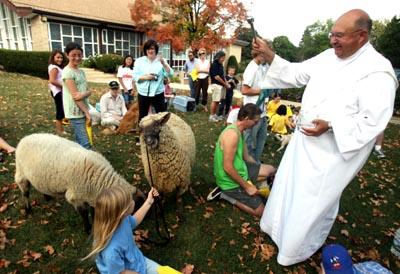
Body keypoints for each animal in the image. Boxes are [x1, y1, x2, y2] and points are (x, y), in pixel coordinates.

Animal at [15, 134, 144, 232]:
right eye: (137, 205)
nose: (137, 226)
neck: (99, 179)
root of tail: (25, 138)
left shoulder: (91, 194)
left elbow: (93, 210)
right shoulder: (75, 196)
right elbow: (84, 213)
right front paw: (87, 229)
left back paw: (47, 197)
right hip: (21, 174)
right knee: (25, 193)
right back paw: (28, 209)